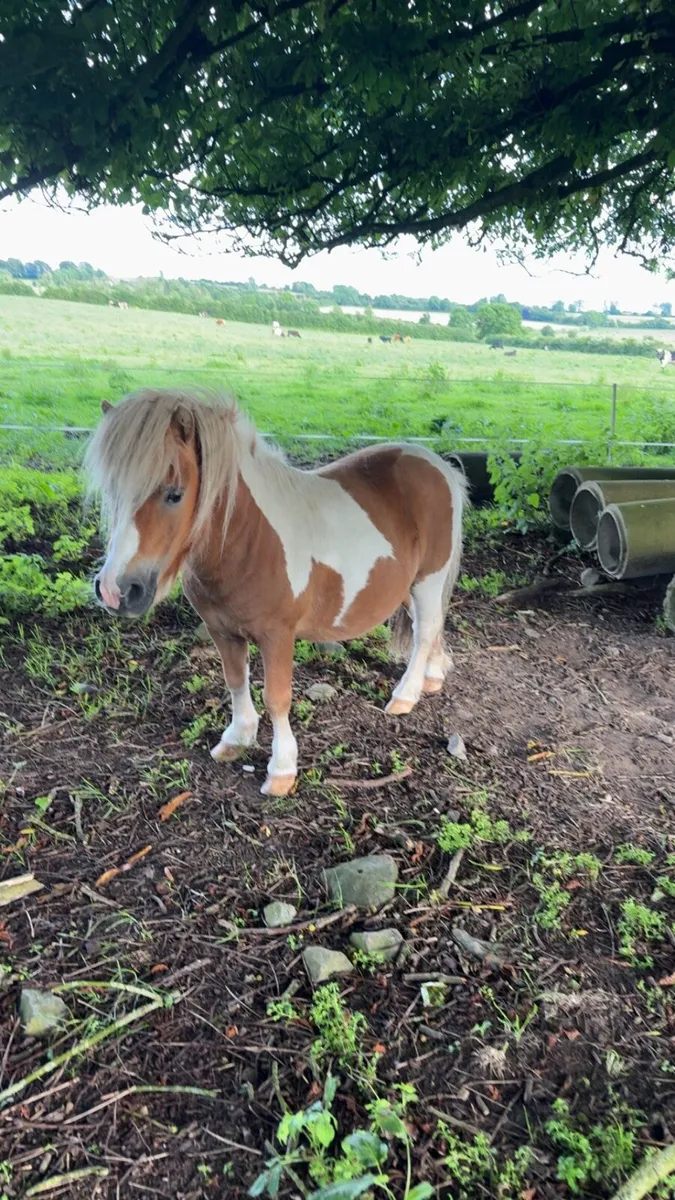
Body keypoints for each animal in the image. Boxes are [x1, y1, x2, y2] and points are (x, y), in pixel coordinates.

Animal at [85, 390, 467, 798]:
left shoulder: (277, 636)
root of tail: (437, 464)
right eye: (113, 491)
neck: (250, 539)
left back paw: (405, 695)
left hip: (428, 580)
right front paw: (236, 738)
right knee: (427, 628)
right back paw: (433, 676)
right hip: (407, 587)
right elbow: (235, 680)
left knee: (425, 631)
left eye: (174, 494)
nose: (115, 591)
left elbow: (277, 698)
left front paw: (282, 769)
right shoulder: (222, 630)